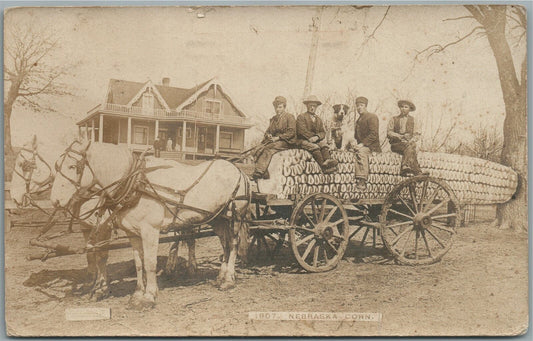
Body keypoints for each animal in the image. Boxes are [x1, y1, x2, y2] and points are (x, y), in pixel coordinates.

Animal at [50, 138, 249, 308]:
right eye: (57, 166)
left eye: (72, 166)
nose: (55, 200)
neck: (135, 184)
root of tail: (239, 170)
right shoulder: (132, 233)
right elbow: (138, 263)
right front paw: (137, 294)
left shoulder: (149, 230)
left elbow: (149, 263)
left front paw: (149, 296)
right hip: (218, 219)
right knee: (224, 244)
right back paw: (221, 276)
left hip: (235, 216)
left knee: (233, 243)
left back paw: (229, 279)